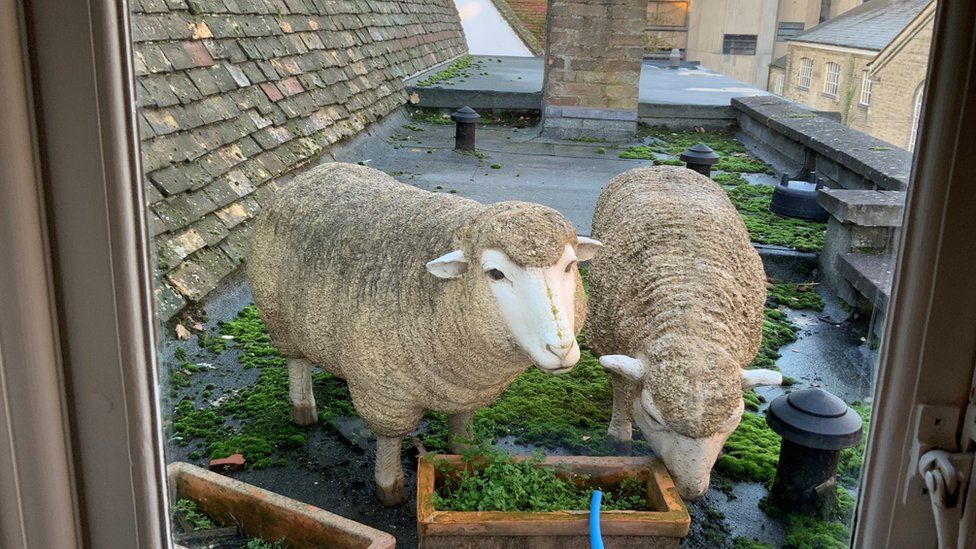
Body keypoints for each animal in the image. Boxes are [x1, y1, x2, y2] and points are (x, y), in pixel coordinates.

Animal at [248, 163, 600, 506]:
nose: (560, 348)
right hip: (279, 319)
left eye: (569, 266)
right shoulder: (387, 393)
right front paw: (389, 489)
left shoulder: (464, 386)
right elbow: (389, 440)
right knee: (297, 364)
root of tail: (310, 174)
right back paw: (303, 410)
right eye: (496, 273)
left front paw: (462, 453)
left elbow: (461, 425)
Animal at [584, 165, 780, 498]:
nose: (690, 491)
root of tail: (664, 167)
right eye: (652, 416)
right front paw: (619, 437)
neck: (690, 317)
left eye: (733, 420)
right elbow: (621, 386)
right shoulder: (609, 339)